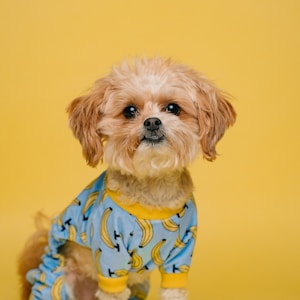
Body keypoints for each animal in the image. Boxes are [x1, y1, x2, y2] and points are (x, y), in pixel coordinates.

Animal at [18, 56, 237, 300]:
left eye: (173, 108)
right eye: (129, 111)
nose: (152, 122)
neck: (153, 189)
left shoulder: (180, 257)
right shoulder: (110, 262)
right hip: (58, 281)